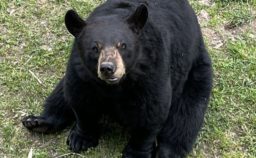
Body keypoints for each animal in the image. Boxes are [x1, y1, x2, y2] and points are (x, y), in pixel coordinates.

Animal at [22, 0, 212, 157]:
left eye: (122, 45)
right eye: (95, 47)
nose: (108, 68)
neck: (114, 87)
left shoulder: (152, 69)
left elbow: (151, 111)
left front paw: (136, 153)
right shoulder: (81, 72)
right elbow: (80, 101)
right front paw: (80, 139)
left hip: (196, 74)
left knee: (185, 116)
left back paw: (167, 152)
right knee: (60, 94)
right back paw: (37, 122)